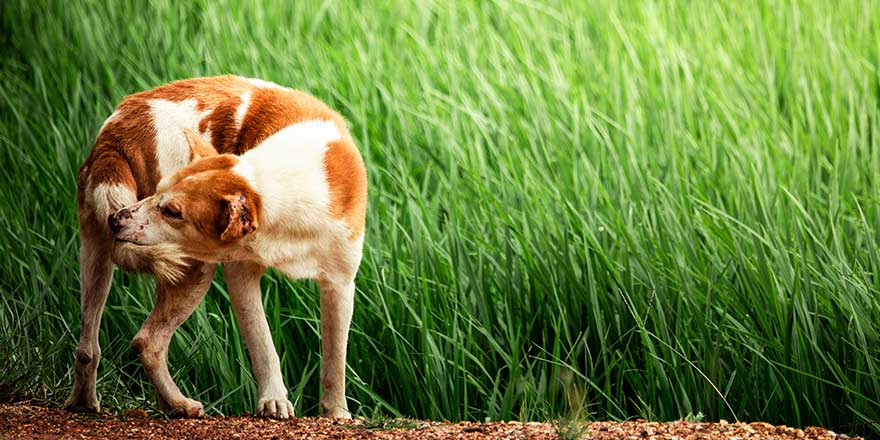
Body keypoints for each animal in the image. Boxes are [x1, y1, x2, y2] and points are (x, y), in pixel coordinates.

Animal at [66, 76, 368, 420]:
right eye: (158, 195)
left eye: (172, 211)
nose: (116, 220)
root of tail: (116, 132)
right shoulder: (241, 275)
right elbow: (263, 343)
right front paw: (274, 401)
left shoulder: (339, 285)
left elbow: (334, 358)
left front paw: (336, 413)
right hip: (192, 269)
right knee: (147, 341)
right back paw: (179, 404)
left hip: (95, 259)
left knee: (88, 348)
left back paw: (91, 404)